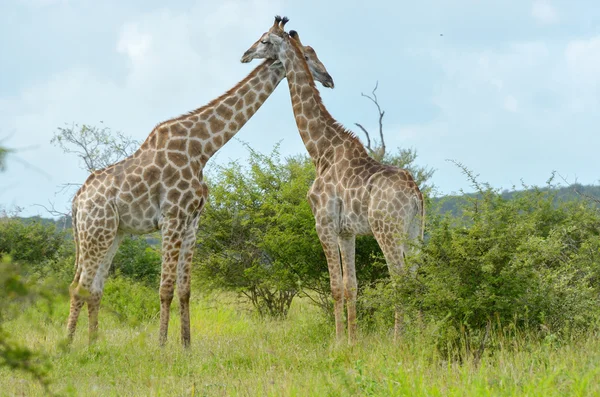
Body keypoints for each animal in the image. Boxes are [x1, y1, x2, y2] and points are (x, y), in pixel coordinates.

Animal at [68, 17, 336, 346]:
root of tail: (77, 201)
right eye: (307, 54)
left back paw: (92, 344)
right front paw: (161, 346)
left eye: (263, 41)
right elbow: (164, 289)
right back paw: (68, 346)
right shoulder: (172, 217)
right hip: (96, 232)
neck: (202, 149)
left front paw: (186, 346)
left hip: (111, 233)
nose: (328, 77)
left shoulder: (193, 219)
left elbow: (185, 289)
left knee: (94, 287)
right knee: (78, 286)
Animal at [241, 17, 424, 342]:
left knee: (400, 278)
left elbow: (335, 286)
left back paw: (398, 339)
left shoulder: (323, 223)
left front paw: (338, 341)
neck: (321, 150)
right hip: (416, 230)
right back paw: (424, 334)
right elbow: (352, 285)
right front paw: (353, 339)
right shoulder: (346, 232)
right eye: (310, 53)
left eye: (263, 40)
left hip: (387, 230)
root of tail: (415, 193)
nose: (245, 54)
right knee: (417, 277)